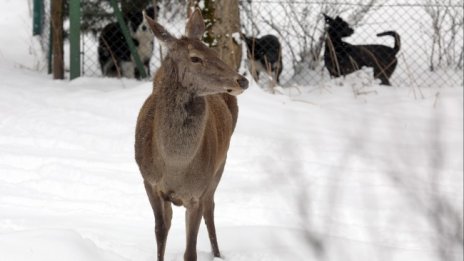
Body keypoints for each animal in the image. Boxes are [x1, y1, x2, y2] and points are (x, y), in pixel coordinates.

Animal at [134, 8, 248, 260]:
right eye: (195, 58)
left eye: (213, 51)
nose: (242, 80)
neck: (175, 166)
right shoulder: (149, 182)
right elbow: (160, 231)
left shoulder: (195, 193)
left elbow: (191, 252)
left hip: (219, 166)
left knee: (210, 207)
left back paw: (217, 254)